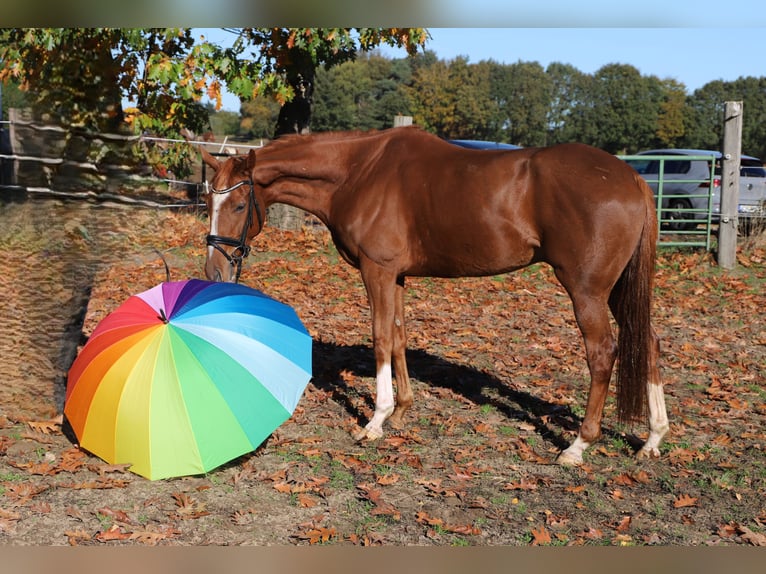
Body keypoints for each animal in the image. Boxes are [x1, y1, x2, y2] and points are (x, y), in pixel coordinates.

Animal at [199, 126, 668, 466]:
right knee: (647, 341)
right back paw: (653, 438)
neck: (359, 171)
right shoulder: (397, 276)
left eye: (239, 205)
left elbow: (381, 339)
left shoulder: (377, 270)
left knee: (603, 352)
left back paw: (578, 446)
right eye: (209, 203)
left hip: (587, 289)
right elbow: (399, 337)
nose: (215, 271)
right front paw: (403, 410)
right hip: (619, 288)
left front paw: (375, 421)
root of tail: (633, 179)